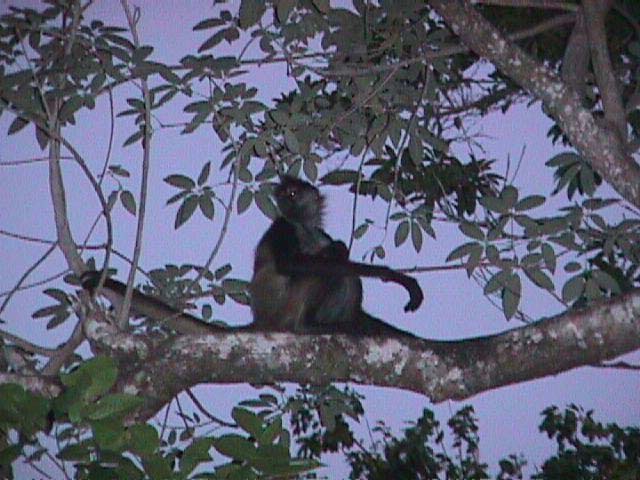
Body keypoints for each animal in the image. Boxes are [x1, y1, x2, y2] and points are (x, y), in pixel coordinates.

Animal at [82, 176, 423, 337]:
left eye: (294, 193)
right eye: (285, 195)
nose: (285, 200)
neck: (303, 226)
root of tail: (261, 318)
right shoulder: (281, 226)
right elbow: (290, 263)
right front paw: (394, 276)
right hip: (285, 308)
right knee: (337, 253)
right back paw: (308, 324)